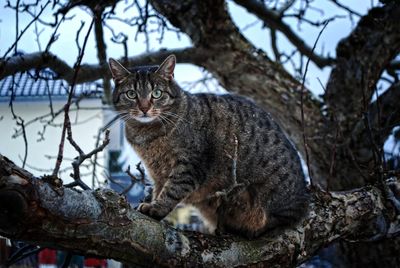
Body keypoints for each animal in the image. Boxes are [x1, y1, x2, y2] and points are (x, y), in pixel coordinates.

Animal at [107, 55, 310, 239]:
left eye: (156, 93)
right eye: (131, 94)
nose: (144, 108)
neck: (147, 133)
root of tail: (302, 199)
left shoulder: (190, 165)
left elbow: (172, 190)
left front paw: (156, 208)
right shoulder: (156, 172)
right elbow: (159, 189)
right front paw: (154, 203)